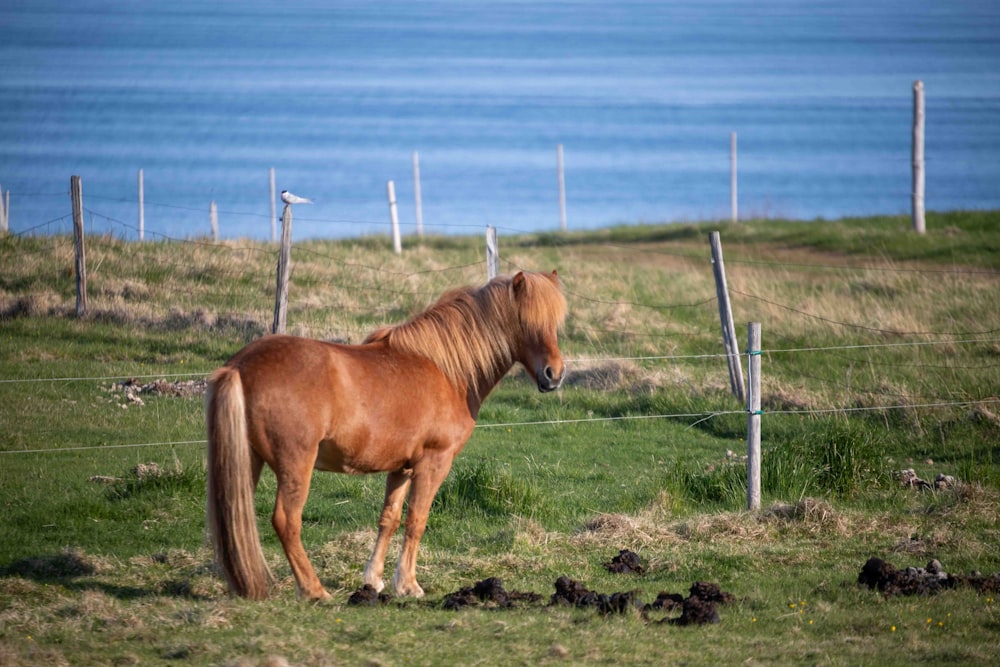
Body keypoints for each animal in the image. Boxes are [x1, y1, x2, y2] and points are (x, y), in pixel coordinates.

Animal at [205, 272, 564, 600]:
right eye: (526, 321)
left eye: (555, 323)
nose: (554, 375)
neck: (446, 370)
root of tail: (239, 366)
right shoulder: (434, 463)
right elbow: (417, 520)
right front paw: (408, 584)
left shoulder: (402, 467)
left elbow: (389, 519)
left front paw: (373, 580)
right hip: (296, 463)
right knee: (286, 521)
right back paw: (314, 590)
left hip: (247, 460)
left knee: (236, 517)